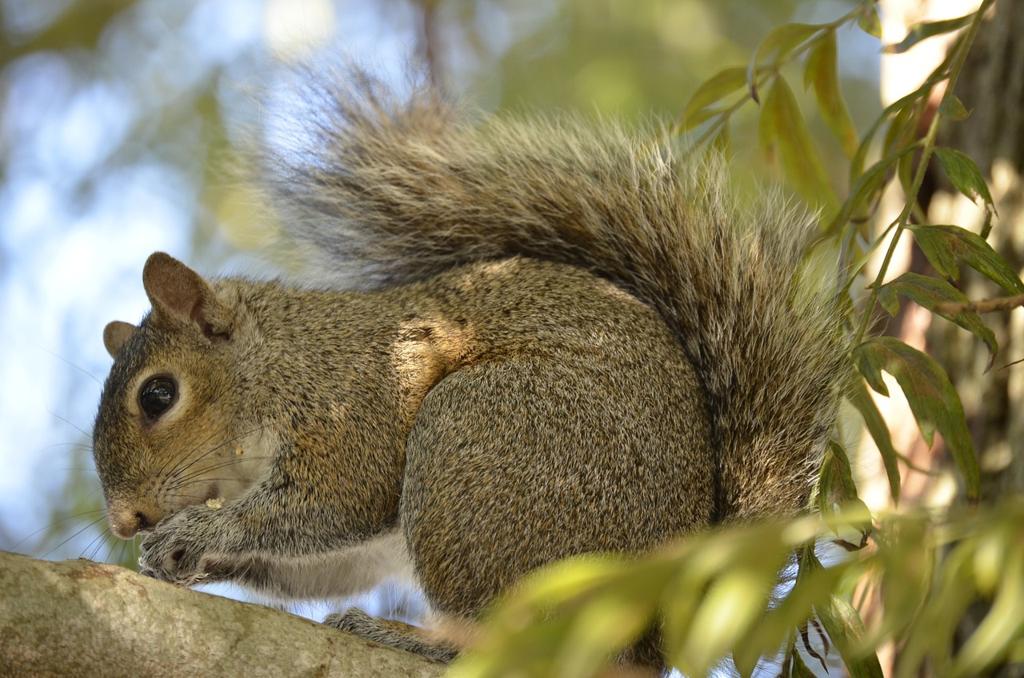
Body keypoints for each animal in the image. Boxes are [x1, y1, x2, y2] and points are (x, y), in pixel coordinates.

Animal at [94, 73, 847, 667]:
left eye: (157, 395)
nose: (126, 522)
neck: (277, 363)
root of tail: (654, 624)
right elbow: (332, 560)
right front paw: (174, 556)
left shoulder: (355, 403)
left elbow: (336, 500)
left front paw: (198, 533)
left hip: (479, 445)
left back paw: (417, 639)